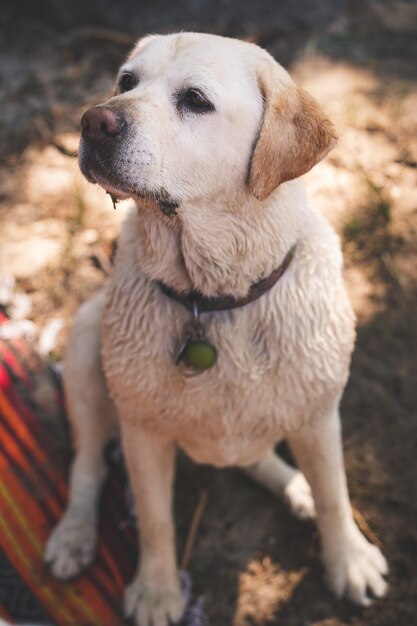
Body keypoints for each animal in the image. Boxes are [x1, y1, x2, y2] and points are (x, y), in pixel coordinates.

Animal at [44, 33, 386, 624]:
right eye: (126, 81)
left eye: (195, 99)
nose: (94, 121)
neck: (213, 300)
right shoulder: (143, 431)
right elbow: (155, 521)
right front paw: (158, 591)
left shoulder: (319, 413)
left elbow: (335, 494)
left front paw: (349, 560)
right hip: (88, 347)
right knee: (87, 464)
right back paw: (74, 535)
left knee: (262, 459)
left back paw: (295, 487)